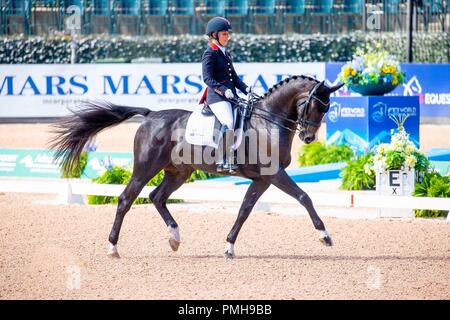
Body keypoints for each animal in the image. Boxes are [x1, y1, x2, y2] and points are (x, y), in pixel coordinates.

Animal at [49, 75, 342, 260]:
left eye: (326, 109)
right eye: (312, 105)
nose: (308, 137)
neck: (268, 122)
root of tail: (151, 116)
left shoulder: (262, 179)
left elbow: (244, 210)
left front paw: (229, 247)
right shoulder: (274, 174)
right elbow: (304, 196)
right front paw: (325, 236)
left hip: (179, 172)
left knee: (157, 197)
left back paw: (175, 238)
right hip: (145, 168)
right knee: (125, 199)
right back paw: (113, 248)